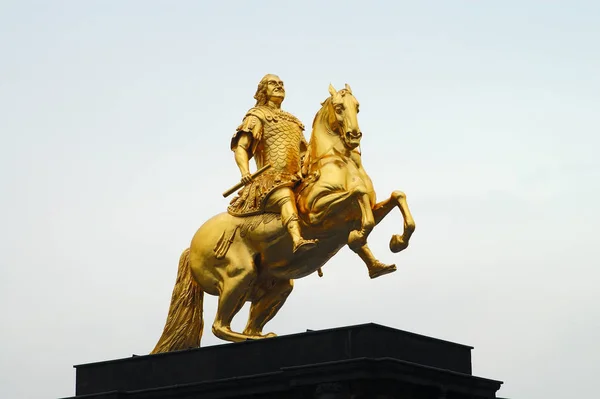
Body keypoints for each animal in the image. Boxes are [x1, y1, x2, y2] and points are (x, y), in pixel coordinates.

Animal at [150, 83, 414, 354]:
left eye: (357, 106)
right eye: (339, 107)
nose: (354, 135)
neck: (338, 163)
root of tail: (191, 247)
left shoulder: (366, 210)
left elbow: (397, 196)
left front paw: (395, 245)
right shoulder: (317, 213)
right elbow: (359, 198)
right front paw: (359, 237)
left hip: (277, 285)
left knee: (249, 325)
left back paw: (263, 336)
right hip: (239, 274)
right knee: (219, 326)